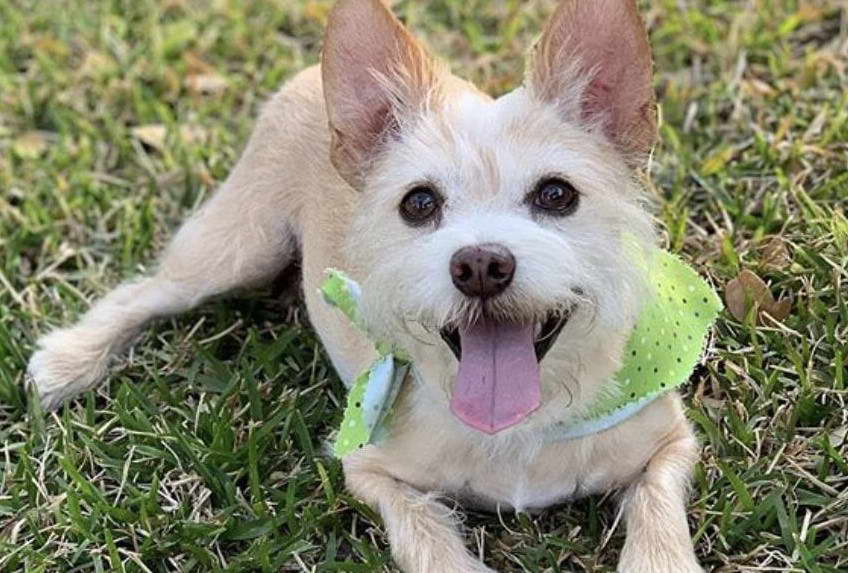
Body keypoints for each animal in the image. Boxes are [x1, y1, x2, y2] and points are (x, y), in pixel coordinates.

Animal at [29, 1, 704, 572]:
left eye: (557, 195)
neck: (520, 428)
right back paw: (70, 360)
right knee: (144, 291)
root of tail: (309, 73)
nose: (480, 266)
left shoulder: (670, 445)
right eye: (419, 203)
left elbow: (658, 514)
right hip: (237, 247)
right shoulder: (371, 471)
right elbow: (427, 536)